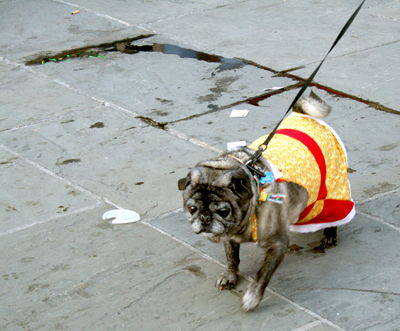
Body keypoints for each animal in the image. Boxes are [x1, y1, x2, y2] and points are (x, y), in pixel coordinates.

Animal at [177, 91, 354, 314]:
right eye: (192, 208)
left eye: (224, 211)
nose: (205, 219)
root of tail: (306, 116)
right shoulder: (229, 237)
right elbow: (232, 258)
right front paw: (230, 276)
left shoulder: (278, 244)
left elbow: (262, 274)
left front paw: (252, 297)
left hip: (331, 192)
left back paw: (330, 233)